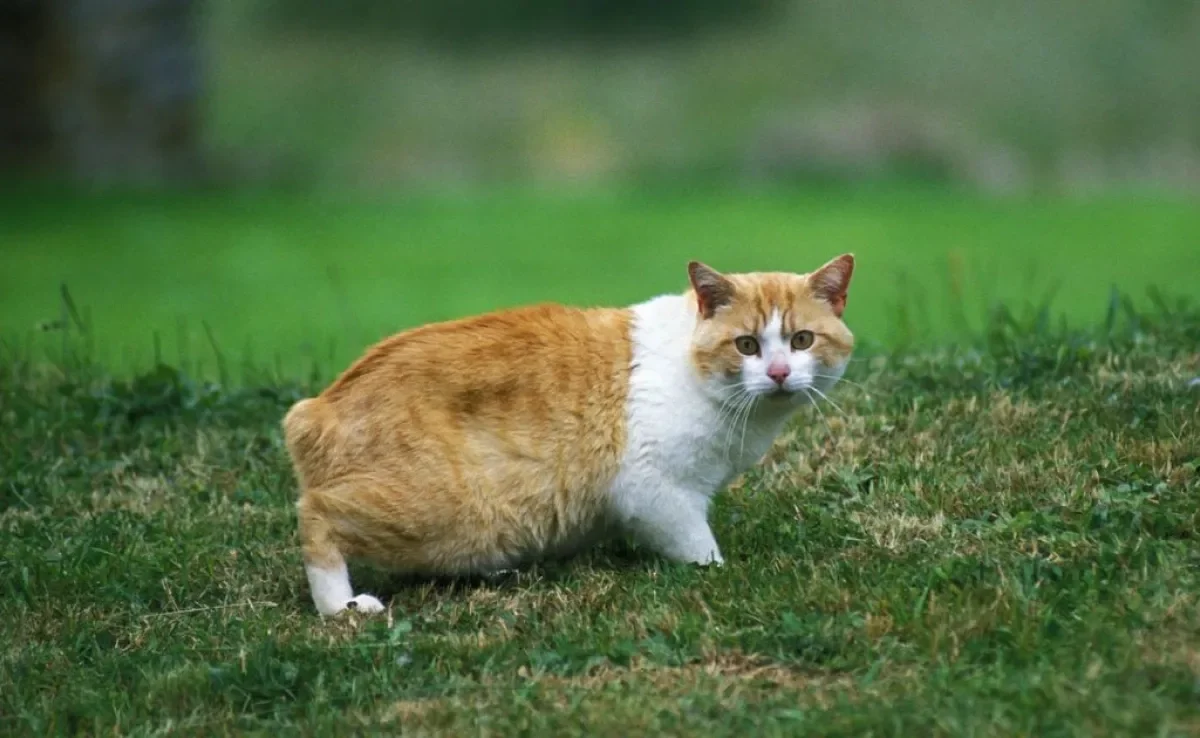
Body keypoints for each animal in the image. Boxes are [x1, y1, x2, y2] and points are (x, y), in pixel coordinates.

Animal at [285, 256, 859, 614]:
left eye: (802, 340)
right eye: (746, 345)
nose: (780, 373)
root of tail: (317, 407)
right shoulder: (657, 492)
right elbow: (699, 548)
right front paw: (715, 572)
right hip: (440, 512)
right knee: (316, 514)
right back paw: (340, 606)